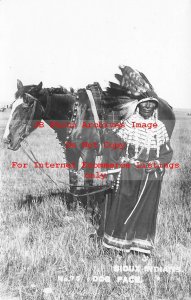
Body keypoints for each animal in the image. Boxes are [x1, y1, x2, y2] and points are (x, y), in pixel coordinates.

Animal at [3, 79, 101, 209]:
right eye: (12, 105)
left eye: (27, 106)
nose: (7, 139)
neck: (78, 115)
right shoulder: (71, 154)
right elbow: (73, 181)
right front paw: (73, 209)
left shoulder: (89, 154)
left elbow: (88, 184)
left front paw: (90, 210)